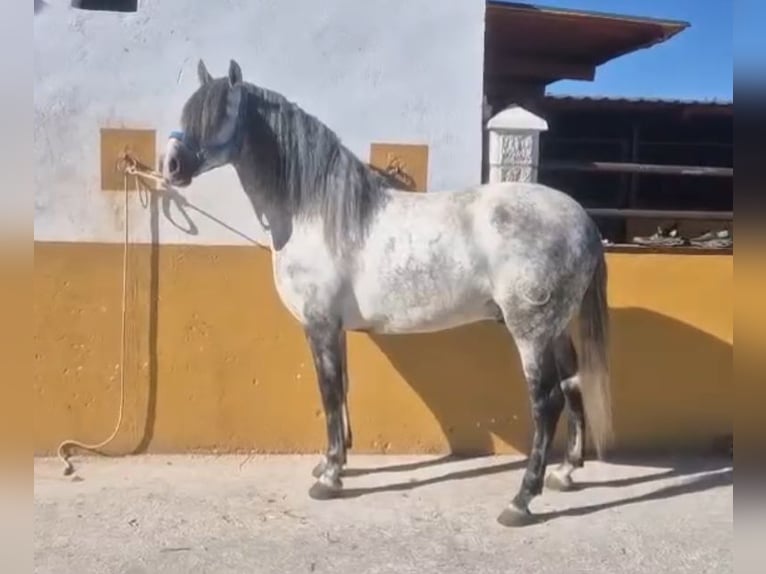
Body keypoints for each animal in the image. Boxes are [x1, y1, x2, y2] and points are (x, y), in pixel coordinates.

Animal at [162, 60, 612, 528]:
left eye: (219, 113)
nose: (171, 165)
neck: (315, 213)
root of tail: (582, 219)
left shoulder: (320, 324)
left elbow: (328, 392)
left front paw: (330, 479)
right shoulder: (335, 328)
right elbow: (341, 388)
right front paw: (331, 464)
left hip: (531, 333)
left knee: (547, 402)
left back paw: (521, 501)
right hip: (557, 329)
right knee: (573, 385)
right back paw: (564, 474)